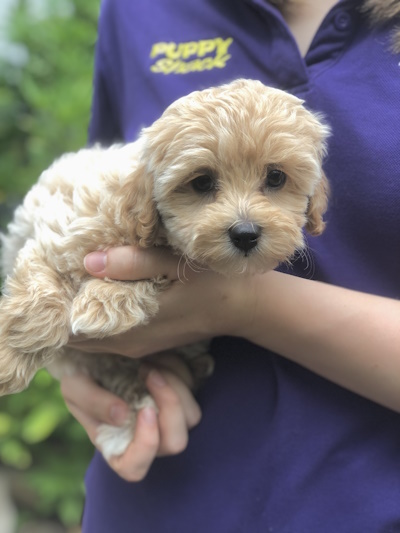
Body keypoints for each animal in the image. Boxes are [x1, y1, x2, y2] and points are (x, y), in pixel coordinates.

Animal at [0, 78, 328, 458]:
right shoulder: (56, 237)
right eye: (202, 182)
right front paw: (11, 356)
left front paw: (106, 302)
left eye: (275, 177)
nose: (245, 234)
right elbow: (38, 297)